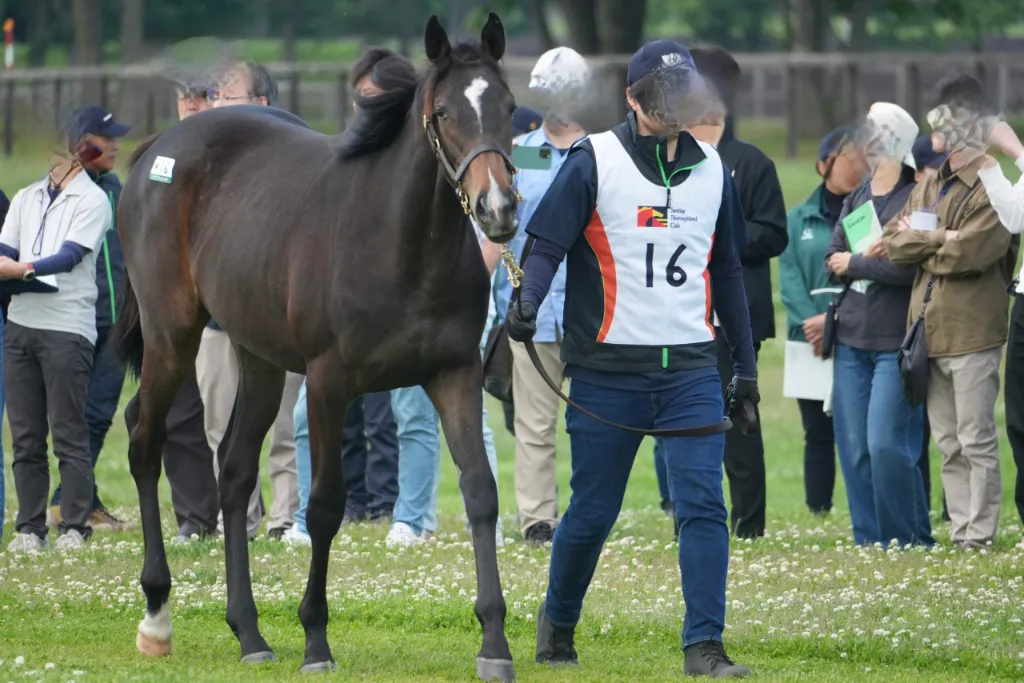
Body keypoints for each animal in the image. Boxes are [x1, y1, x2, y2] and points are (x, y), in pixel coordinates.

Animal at [112, 13, 520, 681]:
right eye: (444, 113)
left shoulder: (454, 376)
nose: (500, 209)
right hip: (172, 338)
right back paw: (156, 616)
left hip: (258, 361)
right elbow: (326, 505)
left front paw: (494, 643)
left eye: (509, 106)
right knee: (144, 441)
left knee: (233, 472)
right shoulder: (330, 384)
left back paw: (248, 631)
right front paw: (316, 640)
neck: (400, 243)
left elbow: (481, 492)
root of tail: (159, 149)